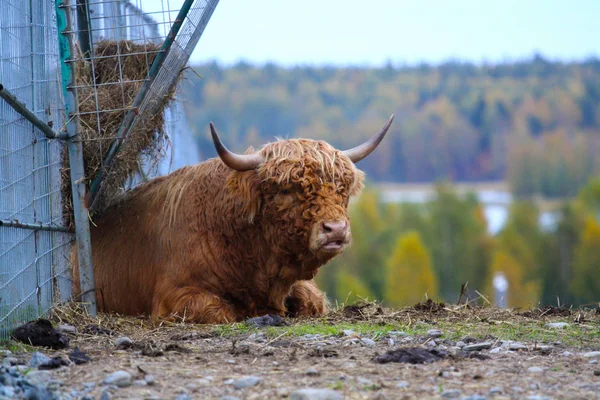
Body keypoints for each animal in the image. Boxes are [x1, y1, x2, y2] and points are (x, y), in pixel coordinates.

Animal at [71, 114, 394, 324]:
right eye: (285, 190)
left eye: (342, 188)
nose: (335, 229)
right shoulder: (172, 297)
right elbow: (223, 312)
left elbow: (313, 302)